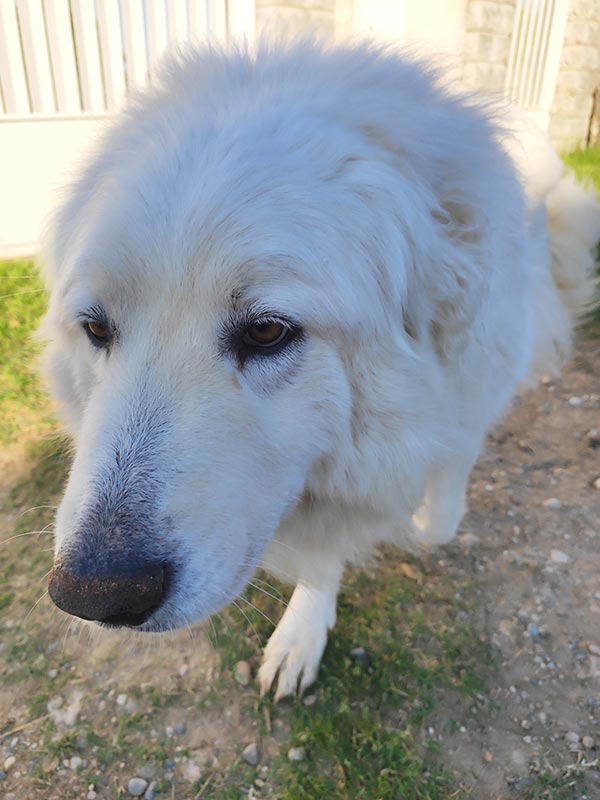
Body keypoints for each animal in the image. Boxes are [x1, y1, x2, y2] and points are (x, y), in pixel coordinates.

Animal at [40, 40, 600, 700]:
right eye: (96, 328)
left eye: (266, 331)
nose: (94, 594)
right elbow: (322, 557)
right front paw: (304, 630)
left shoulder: (469, 394)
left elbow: (435, 511)